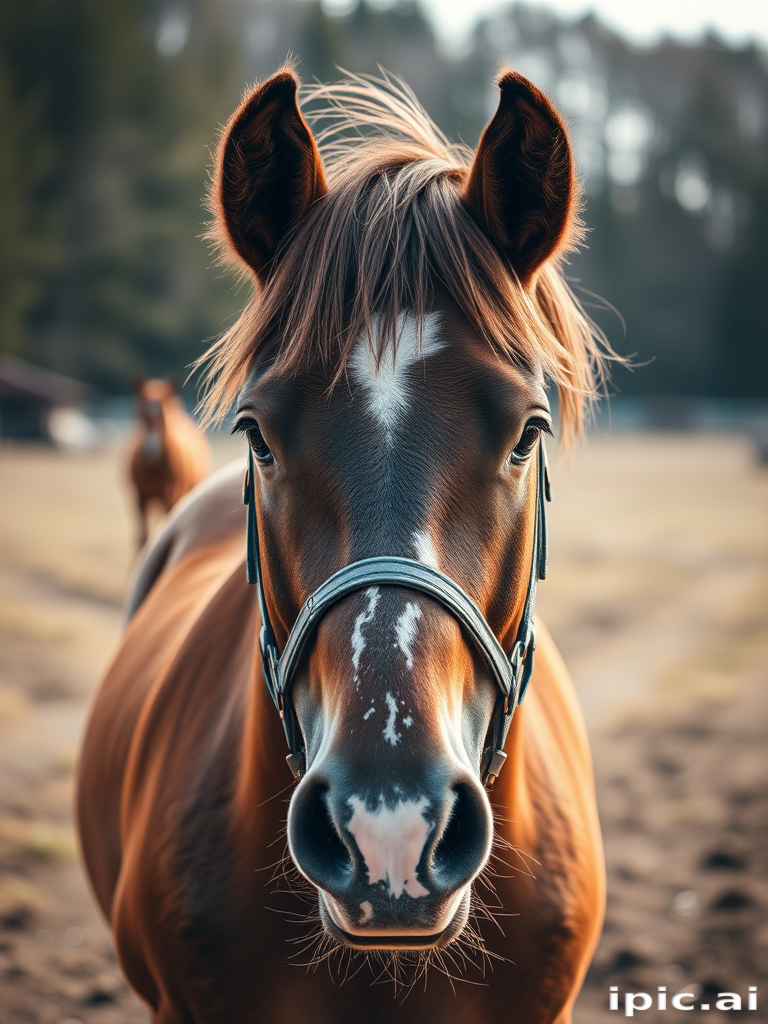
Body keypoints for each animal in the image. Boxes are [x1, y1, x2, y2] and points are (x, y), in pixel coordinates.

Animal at [128, 376, 211, 548]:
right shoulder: (139, 496)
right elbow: (142, 537)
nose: (151, 449)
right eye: (140, 413)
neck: (154, 468)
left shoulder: (170, 493)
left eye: (163, 416)